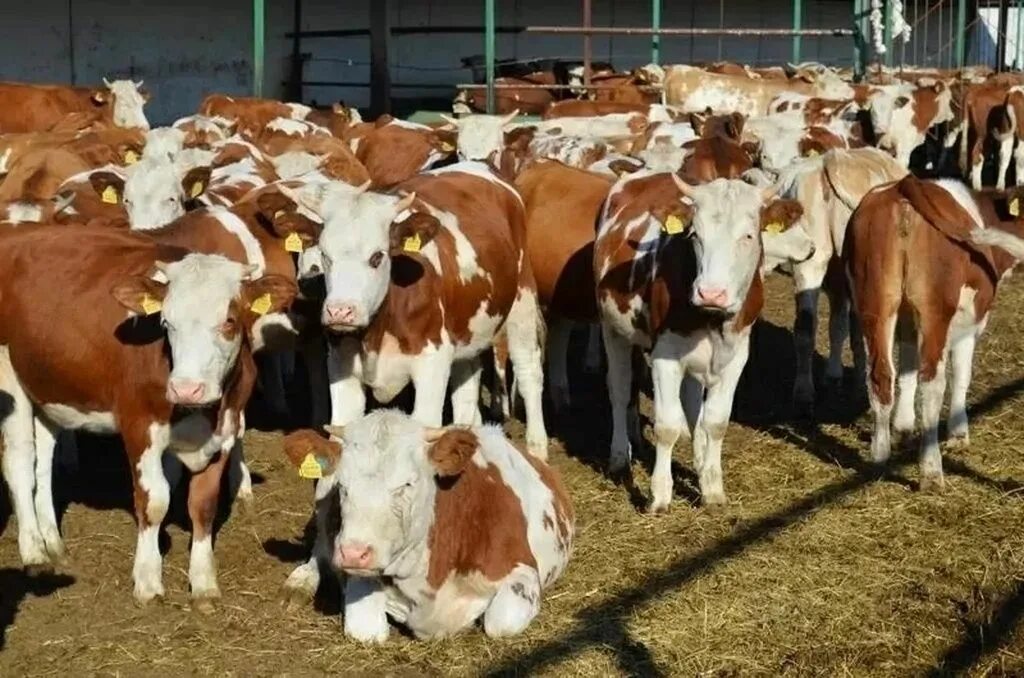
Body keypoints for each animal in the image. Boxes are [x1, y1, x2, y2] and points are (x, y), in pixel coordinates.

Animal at [0, 225, 296, 602]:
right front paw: (148, 580)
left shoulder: (225, 431)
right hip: (9, 377)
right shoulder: (139, 425)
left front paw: (203, 582)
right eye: (166, 323)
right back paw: (34, 552)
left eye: (230, 321)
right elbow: (154, 501)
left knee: (45, 459)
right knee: (20, 463)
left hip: (50, 384)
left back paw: (53, 541)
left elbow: (204, 505)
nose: (186, 388)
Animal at [280, 411, 577, 647]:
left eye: (408, 483)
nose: (354, 553)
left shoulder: (521, 567)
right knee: (321, 548)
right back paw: (300, 582)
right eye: (343, 485)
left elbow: (501, 622)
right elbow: (367, 631)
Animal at [598, 174, 811, 510]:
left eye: (748, 235)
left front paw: (711, 486)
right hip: (612, 328)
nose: (711, 292)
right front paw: (659, 494)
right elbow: (667, 426)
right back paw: (620, 457)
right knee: (619, 390)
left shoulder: (736, 356)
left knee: (691, 402)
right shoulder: (665, 357)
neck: (713, 319)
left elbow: (715, 422)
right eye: (695, 235)